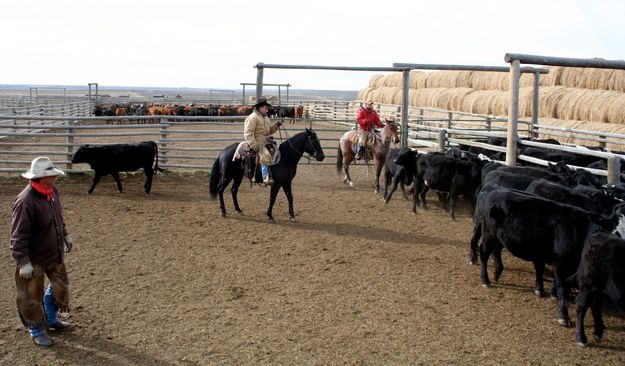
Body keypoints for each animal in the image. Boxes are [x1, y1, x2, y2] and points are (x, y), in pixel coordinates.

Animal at [472, 189, 624, 326]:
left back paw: (496, 273)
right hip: (489, 234)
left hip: (500, 237)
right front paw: (563, 316)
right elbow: (562, 286)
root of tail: (489, 192)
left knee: (495, 251)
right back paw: (485, 280)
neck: (580, 229)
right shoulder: (561, 262)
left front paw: (545, 291)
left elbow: (547, 274)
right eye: (615, 230)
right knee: (484, 253)